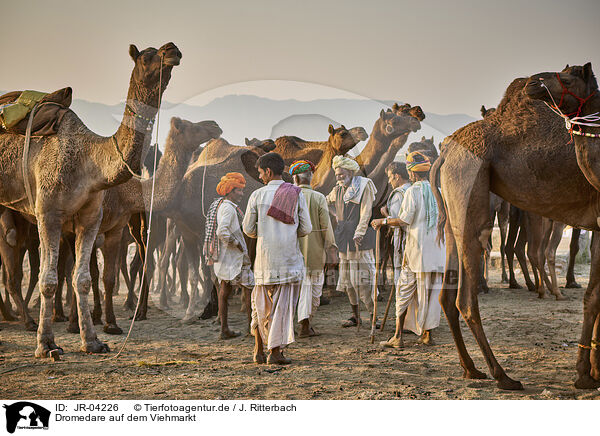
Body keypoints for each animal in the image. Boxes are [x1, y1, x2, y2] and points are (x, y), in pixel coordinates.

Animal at [432, 70, 600, 388]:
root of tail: (445, 152)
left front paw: (593, 369)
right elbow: (595, 296)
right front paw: (586, 374)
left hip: (452, 211)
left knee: (448, 294)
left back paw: (471, 368)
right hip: (471, 190)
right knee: (466, 297)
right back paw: (503, 375)